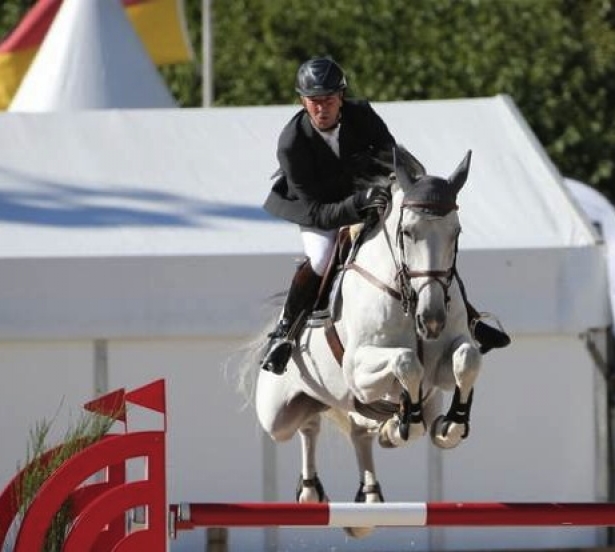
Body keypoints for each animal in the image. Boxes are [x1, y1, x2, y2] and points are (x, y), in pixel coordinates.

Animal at [253, 144, 484, 536]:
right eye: (408, 232)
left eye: (456, 232)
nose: (432, 320)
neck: (405, 294)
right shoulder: (358, 370)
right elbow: (406, 360)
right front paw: (411, 419)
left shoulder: (440, 367)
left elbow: (466, 358)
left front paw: (451, 425)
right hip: (277, 413)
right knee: (307, 424)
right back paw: (312, 492)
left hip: (363, 404)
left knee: (357, 429)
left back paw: (374, 482)